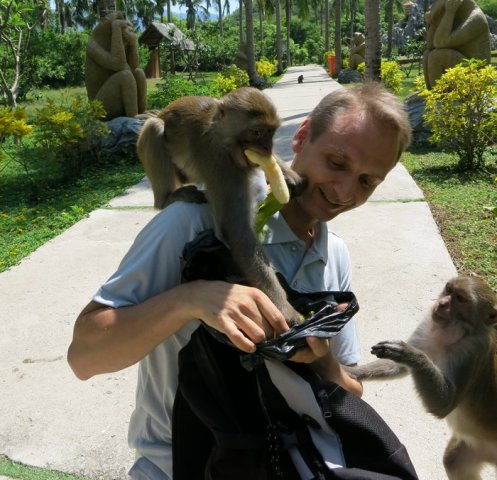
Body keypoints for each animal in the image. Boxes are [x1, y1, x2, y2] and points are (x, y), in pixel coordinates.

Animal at [136, 86, 306, 325]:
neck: (223, 138)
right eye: (256, 132)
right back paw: (168, 198)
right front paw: (285, 309)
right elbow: (237, 233)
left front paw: (287, 174)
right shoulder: (222, 166)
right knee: (154, 128)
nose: (266, 147)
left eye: (271, 132)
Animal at [346, 276, 497, 479]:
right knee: (452, 460)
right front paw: (347, 372)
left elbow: (443, 405)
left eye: (460, 299)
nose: (441, 304)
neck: (449, 335)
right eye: (449, 290)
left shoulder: (474, 351)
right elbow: (399, 368)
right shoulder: (427, 325)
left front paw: (408, 353)